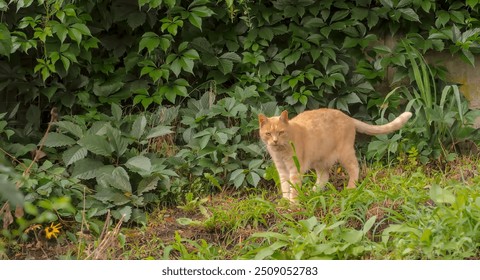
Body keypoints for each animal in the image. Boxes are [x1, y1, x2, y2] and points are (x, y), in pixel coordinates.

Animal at [258, 107, 412, 201]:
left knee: (355, 168)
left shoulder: (295, 170)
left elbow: (293, 189)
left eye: (280, 132)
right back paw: (314, 191)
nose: (275, 141)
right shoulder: (282, 170)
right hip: (320, 160)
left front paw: (292, 205)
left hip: (345, 154)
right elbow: (285, 187)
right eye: (268, 133)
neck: (280, 152)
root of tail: (348, 117)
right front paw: (284, 203)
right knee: (324, 176)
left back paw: (350, 188)